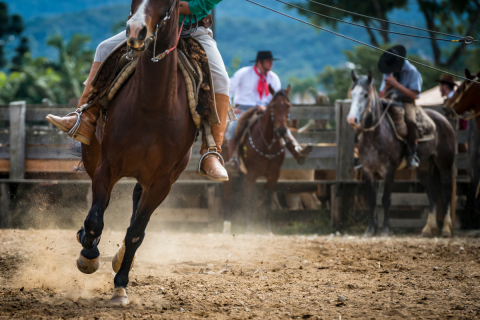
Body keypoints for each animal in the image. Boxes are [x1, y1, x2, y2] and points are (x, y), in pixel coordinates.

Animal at [74, 0, 195, 304]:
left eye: (168, 2)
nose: (136, 31)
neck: (152, 105)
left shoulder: (162, 182)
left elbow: (136, 233)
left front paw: (120, 285)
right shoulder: (107, 166)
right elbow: (94, 220)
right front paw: (88, 255)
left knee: (135, 205)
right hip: (93, 157)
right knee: (101, 206)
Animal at [224, 86, 292, 232]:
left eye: (289, 105)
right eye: (273, 105)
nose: (282, 130)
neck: (268, 144)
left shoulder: (273, 175)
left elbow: (267, 200)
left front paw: (266, 227)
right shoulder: (252, 174)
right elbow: (250, 198)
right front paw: (249, 226)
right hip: (229, 173)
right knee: (229, 195)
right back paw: (227, 225)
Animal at [346, 72, 456, 238]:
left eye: (365, 94)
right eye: (352, 93)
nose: (352, 119)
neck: (376, 135)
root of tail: (444, 120)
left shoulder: (389, 171)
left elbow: (386, 199)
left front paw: (385, 229)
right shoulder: (368, 171)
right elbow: (372, 199)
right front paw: (370, 230)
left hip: (444, 164)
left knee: (447, 192)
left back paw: (446, 229)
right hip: (424, 167)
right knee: (432, 193)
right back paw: (428, 229)